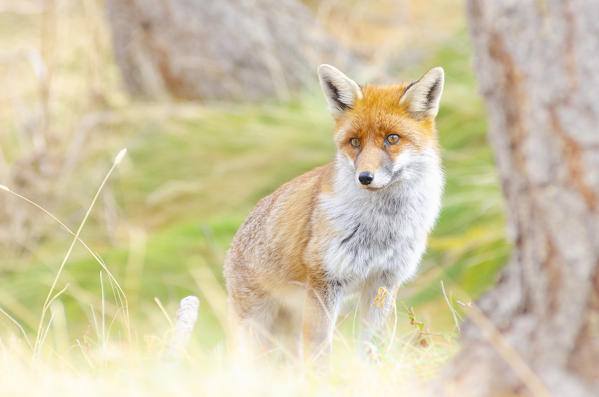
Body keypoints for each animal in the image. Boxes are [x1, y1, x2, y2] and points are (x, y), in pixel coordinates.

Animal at [225, 64, 446, 358]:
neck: (382, 228)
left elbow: (371, 345)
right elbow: (319, 348)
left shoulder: (383, 281)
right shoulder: (325, 280)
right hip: (256, 325)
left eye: (392, 139)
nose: (365, 177)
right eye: (355, 142)